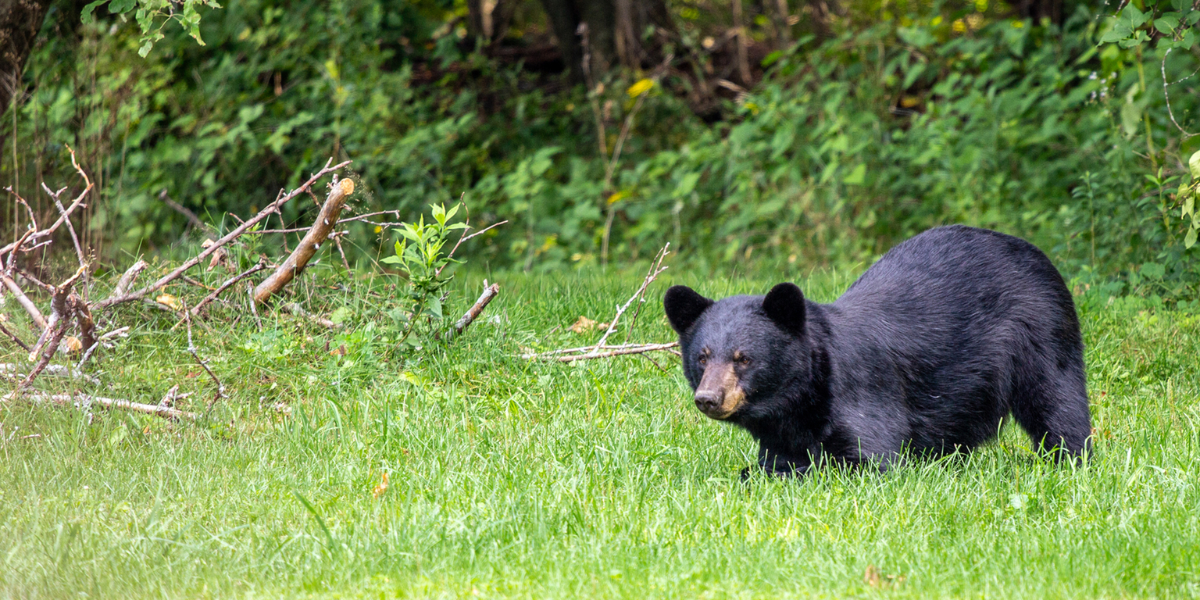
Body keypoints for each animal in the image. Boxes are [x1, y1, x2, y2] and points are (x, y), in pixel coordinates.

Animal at [662, 223, 1094, 475]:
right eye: (702, 357)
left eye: (744, 358)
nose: (709, 398)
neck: (801, 400)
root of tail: (1034, 251)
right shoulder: (782, 433)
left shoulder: (862, 397)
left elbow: (870, 458)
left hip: (1041, 332)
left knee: (1057, 402)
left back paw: (1070, 461)